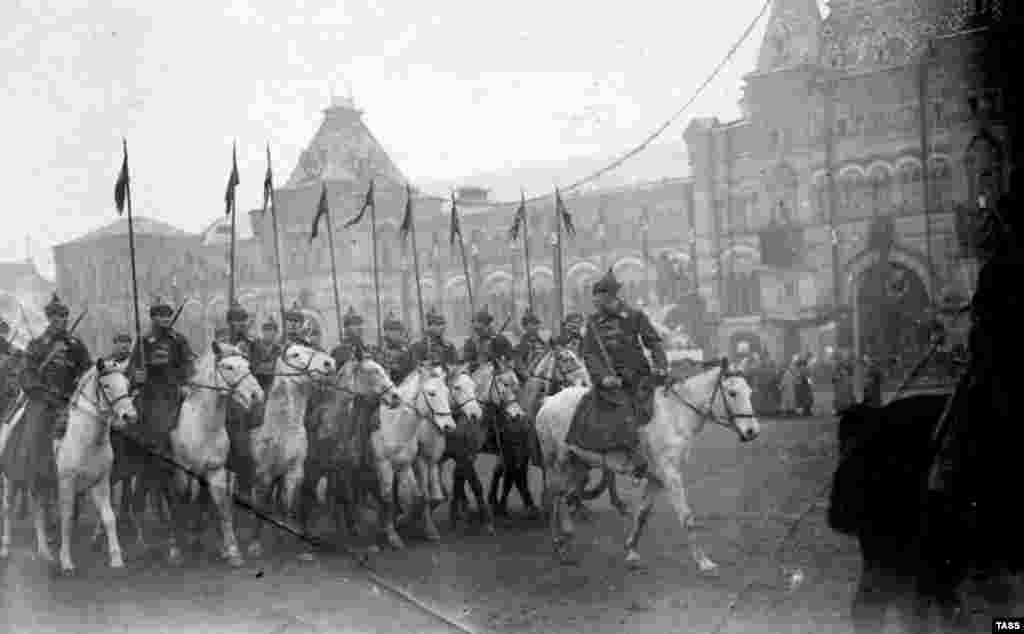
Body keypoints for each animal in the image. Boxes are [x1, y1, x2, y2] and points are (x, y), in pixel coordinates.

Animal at [166, 344, 264, 569]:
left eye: (247, 365)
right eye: (228, 367)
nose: (257, 395)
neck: (203, 426)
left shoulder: (216, 471)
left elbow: (222, 508)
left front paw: (232, 550)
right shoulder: (182, 471)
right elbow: (179, 502)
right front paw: (175, 549)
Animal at [245, 342, 333, 561]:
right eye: (295, 354)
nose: (329, 363)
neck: (283, 431)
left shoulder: (293, 472)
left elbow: (288, 504)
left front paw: (289, 541)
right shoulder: (263, 473)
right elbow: (261, 506)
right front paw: (255, 545)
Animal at [374, 366, 454, 548]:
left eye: (447, 392)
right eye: (431, 393)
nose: (449, 426)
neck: (394, 425)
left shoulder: (411, 464)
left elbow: (422, 497)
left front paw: (424, 527)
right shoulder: (385, 465)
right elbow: (388, 497)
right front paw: (393, 534)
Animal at [540, 360, 757, 569]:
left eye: (750, 392)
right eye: (732, 393)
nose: (752, 431)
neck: (675, 416)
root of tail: (548, 401)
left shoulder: (656, 478)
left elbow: (643, 514)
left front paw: (631, 552)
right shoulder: (671, 475)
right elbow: (686, 517)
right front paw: (703, 562)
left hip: (578, 465)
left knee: (565, 496)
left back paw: (566, 536)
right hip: (556, 464)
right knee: (554, 497)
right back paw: (559, 544)